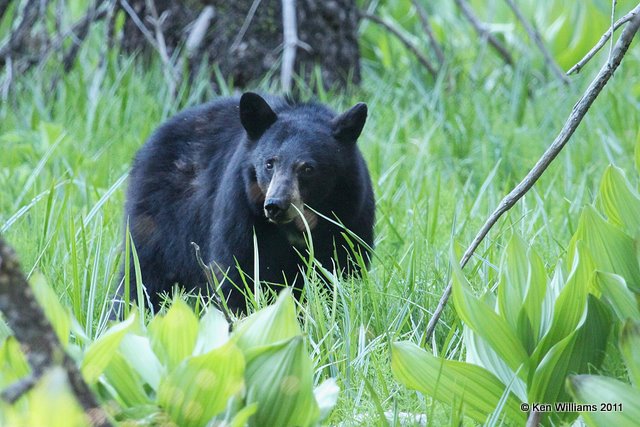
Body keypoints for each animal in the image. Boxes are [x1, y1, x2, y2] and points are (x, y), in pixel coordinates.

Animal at [115, 93, 376, 314]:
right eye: (269, 163)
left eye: (307, 168)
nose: (276, 205)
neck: (299, 225)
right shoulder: (241, 210)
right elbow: (237, 273)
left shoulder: (349, 217)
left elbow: (340, 270)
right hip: (160, 219)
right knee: (142, 274)